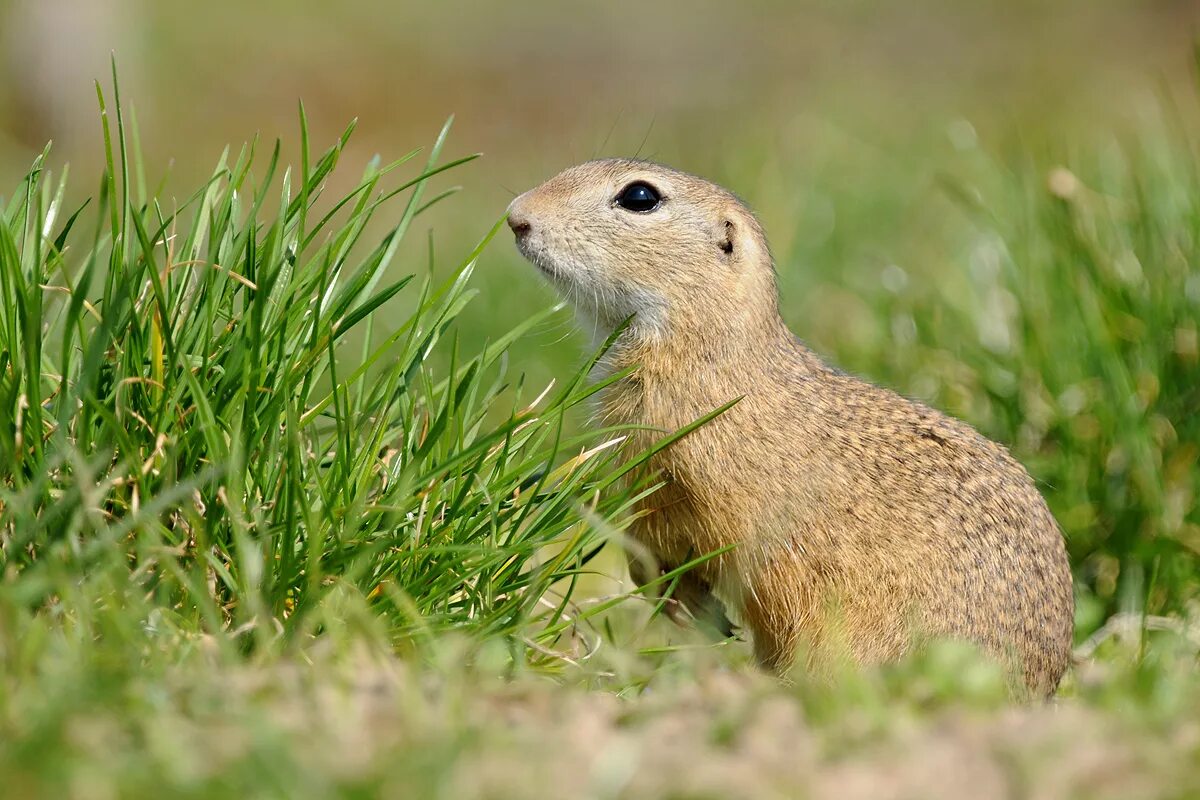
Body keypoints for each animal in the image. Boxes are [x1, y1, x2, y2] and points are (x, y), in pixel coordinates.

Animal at [501, 158, 1075, 695]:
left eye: (639, 196)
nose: (515, 216)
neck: (708, 349)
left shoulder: (686, 474)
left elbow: (672, 538)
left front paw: (684, 604)